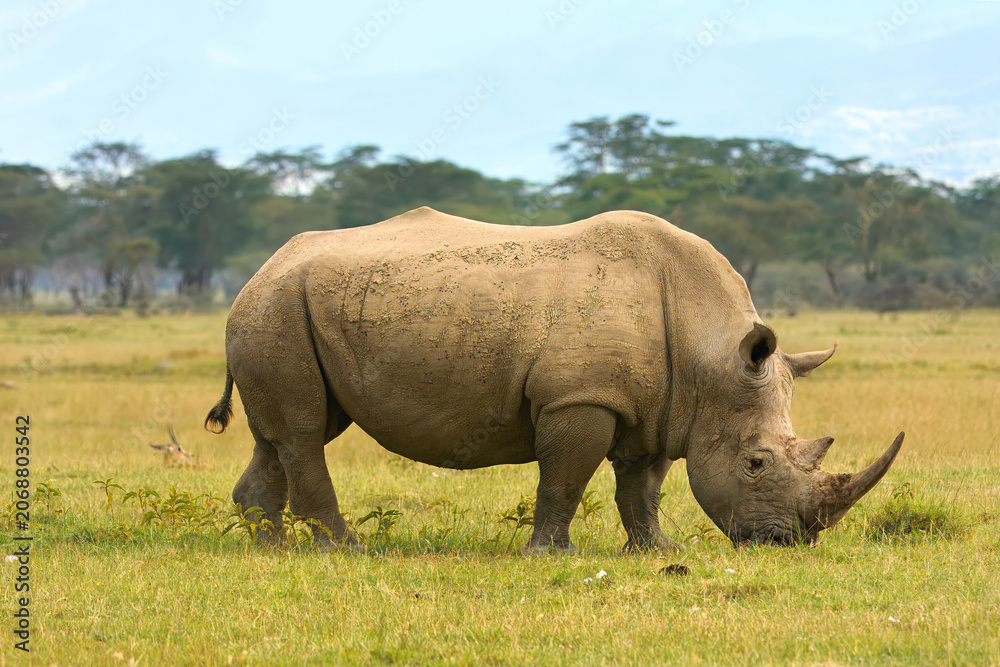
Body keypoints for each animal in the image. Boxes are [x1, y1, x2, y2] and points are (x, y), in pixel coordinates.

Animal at [206, 207, 903, 552]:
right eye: (756, 464)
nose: (788, 543)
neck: (710, 355)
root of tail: (259, 270)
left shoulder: (659, 407)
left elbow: (642, 488)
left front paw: (660, 552)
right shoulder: (581, 398)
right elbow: (565, 479)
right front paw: (549, 554)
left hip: (289, 308)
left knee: (287, 435)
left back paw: (268, 549)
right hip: (278, 308)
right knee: (304, 435)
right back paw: (342, 551)